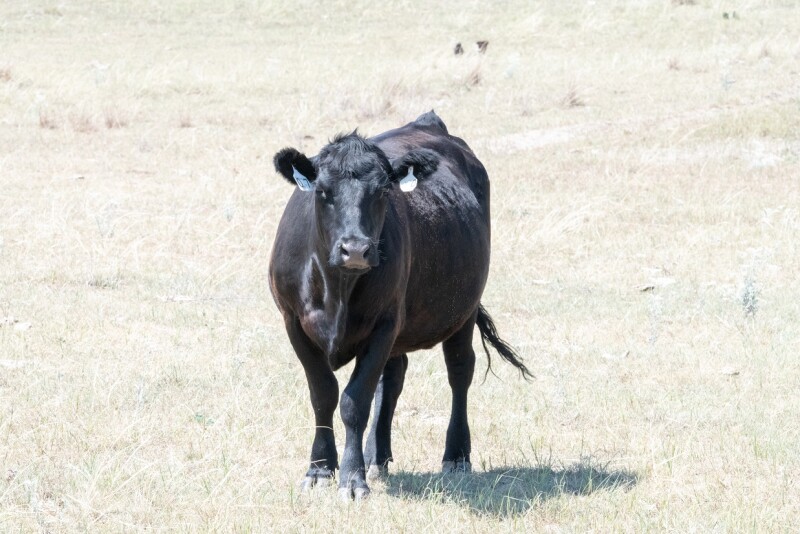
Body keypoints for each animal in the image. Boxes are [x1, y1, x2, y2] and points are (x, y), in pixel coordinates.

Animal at [269, 111, 532, 500]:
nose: (356, 249)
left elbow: (354, 401)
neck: (336, 289)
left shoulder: (384, 323)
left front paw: (352, 478)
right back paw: (377, 457)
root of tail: (428, 122)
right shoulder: (294, 322)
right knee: (392, 379)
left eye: (382, 191)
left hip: (463, 309)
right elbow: (323, 395)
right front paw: (320, 469)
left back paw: (456, 455)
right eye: (322, 192)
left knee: (459, 371)